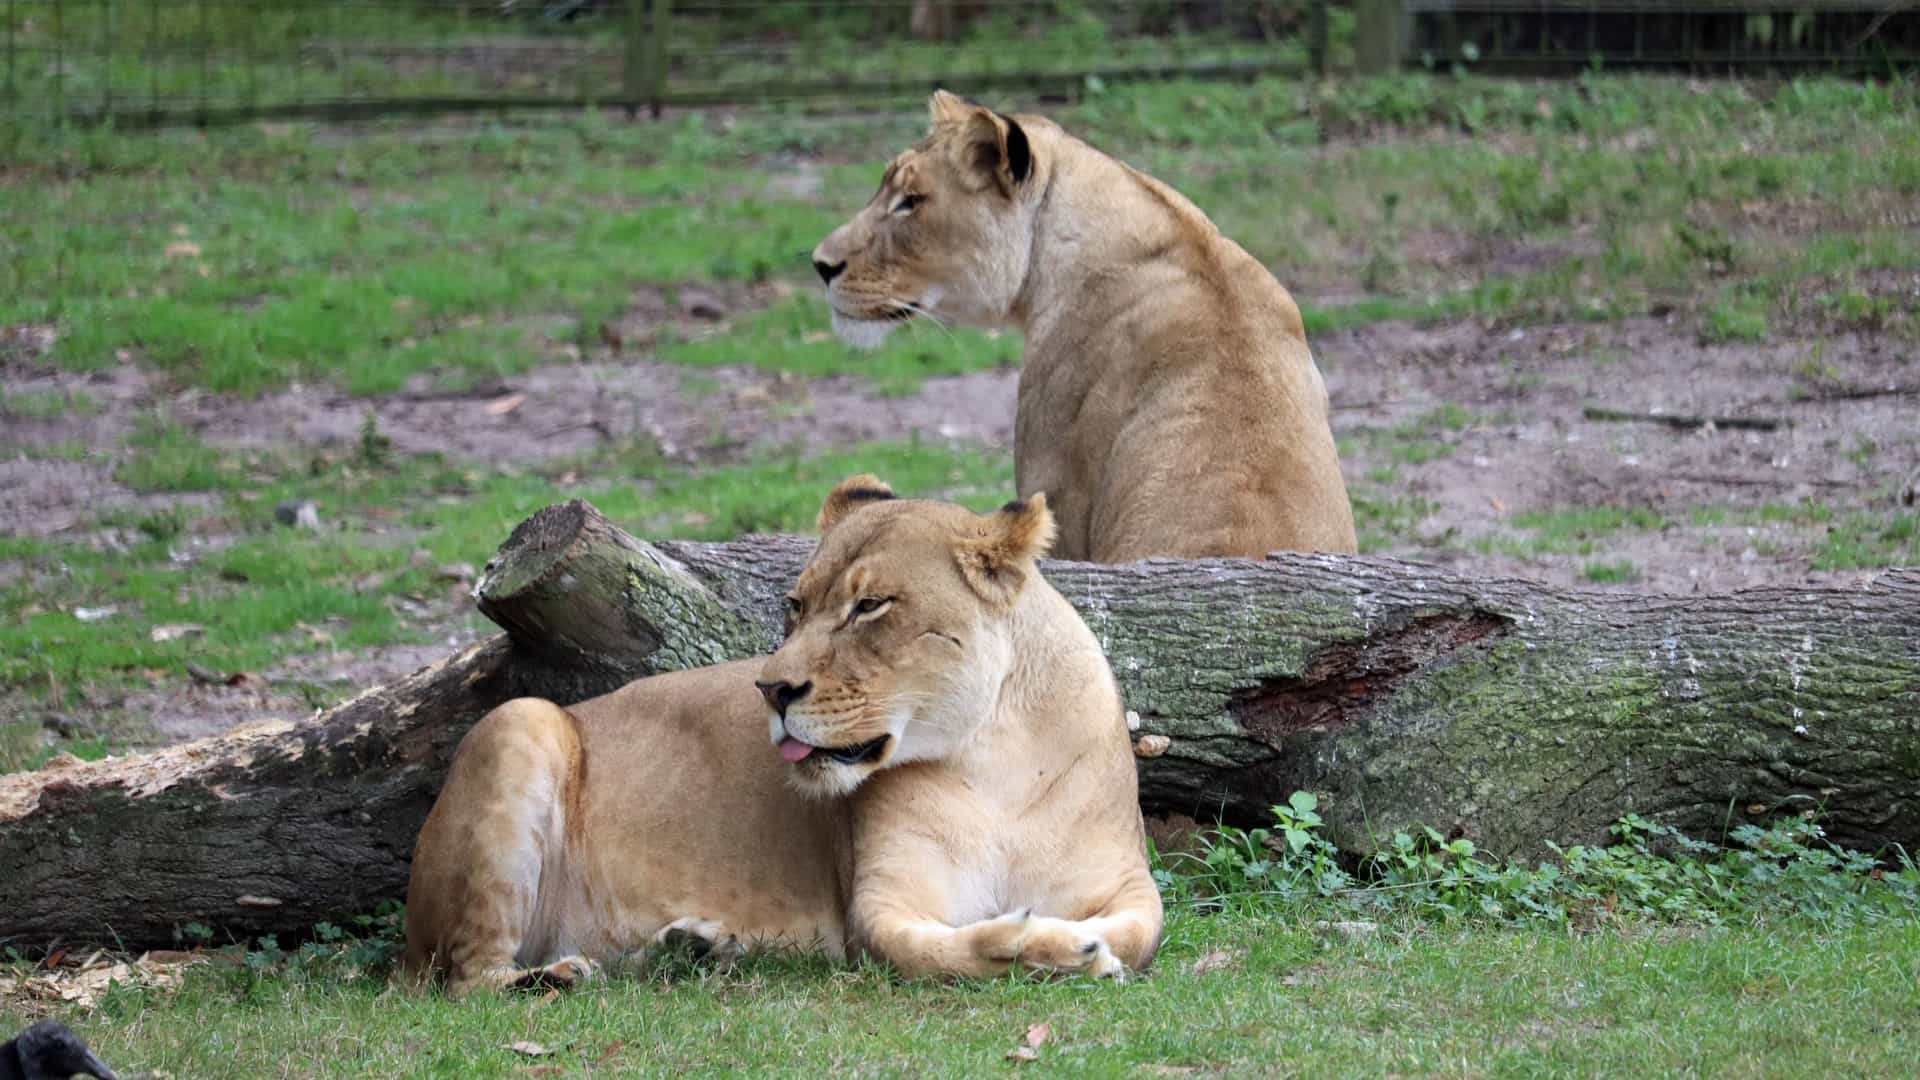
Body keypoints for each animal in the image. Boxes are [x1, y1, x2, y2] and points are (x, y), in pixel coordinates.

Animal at [402, 476, 1163, 993]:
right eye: (796, 605)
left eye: (870, 606)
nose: (770, 690)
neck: (995, 757)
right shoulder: (878, 907)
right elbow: (935, 951)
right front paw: (1048, 946)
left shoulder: (1127, 881)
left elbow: (1142, 929)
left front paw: (1079, 941)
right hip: (519, 720)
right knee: (469, 980)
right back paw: (557, 977)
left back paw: (687, 950)